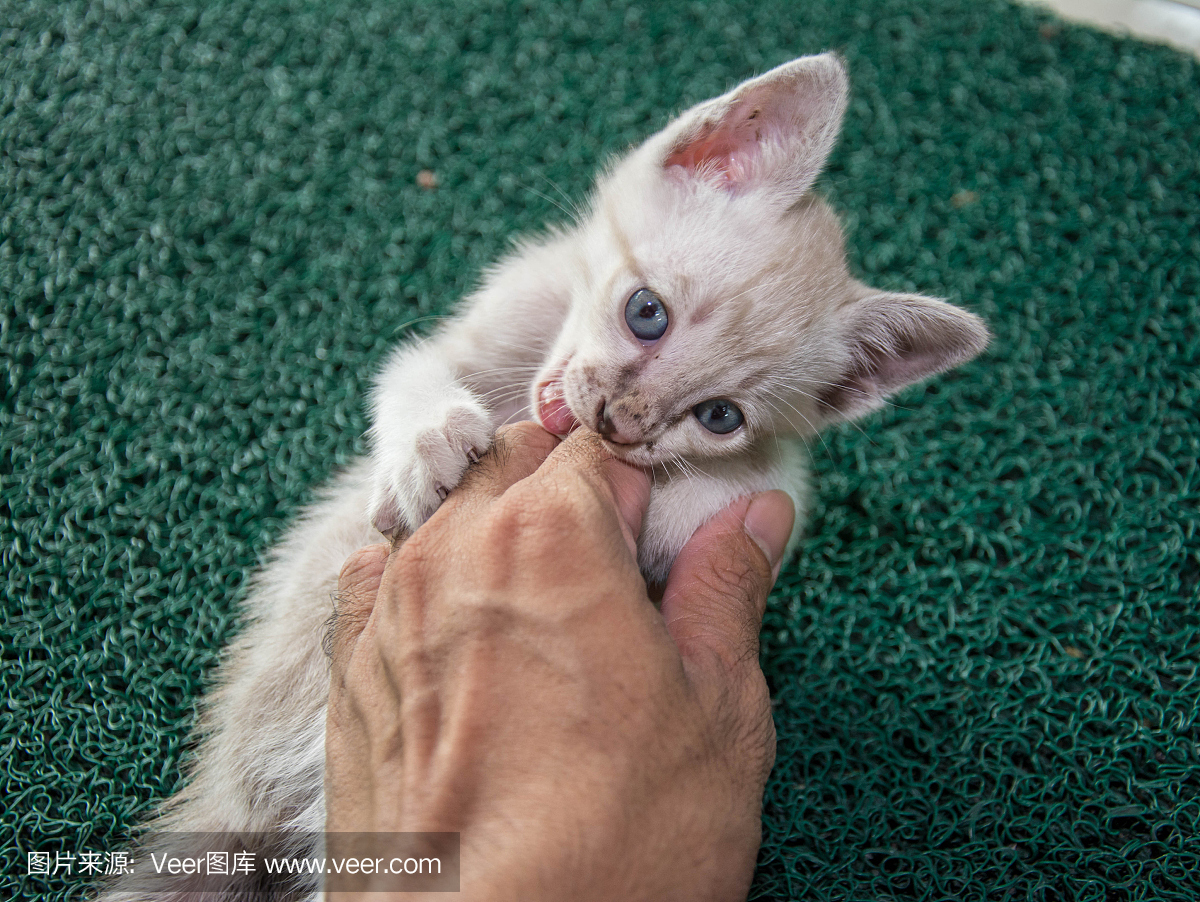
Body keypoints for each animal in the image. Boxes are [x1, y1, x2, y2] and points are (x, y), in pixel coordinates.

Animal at [100, 52, 984, 897]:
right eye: (646, 313)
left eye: (720, 416)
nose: (621, 422)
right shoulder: (477, 327)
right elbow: (406, 374)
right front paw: (428, 442)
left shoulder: (778, 479)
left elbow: (741, 493)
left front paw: (665, 500)